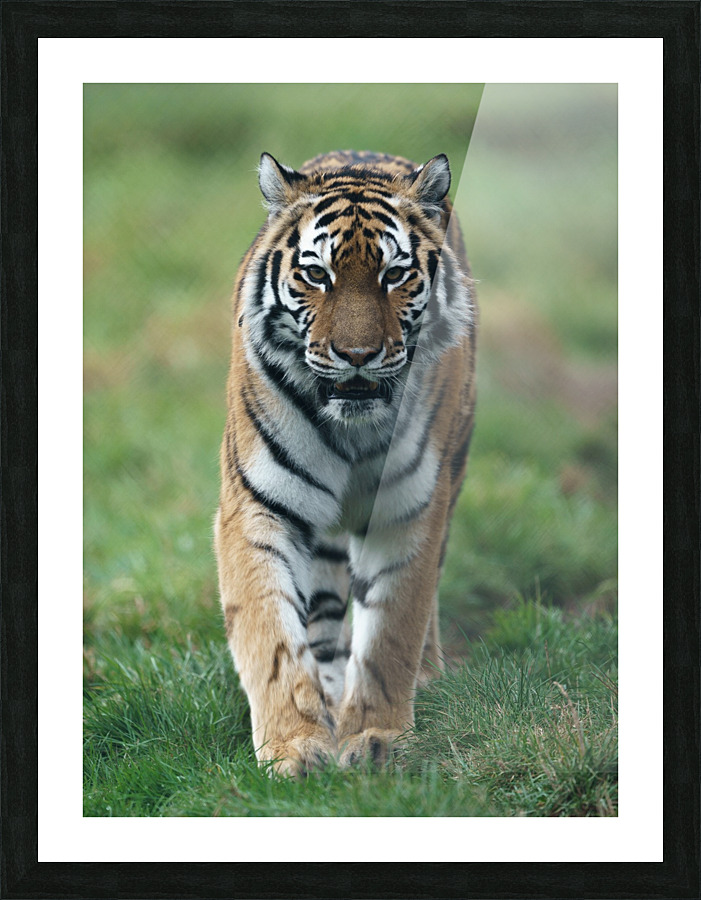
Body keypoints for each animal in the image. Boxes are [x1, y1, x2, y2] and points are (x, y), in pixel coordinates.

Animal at [215, 149, 477, 775]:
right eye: (317, 275)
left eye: (394, 275)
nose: (357, 356)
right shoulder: (256, 508)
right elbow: (271, 633)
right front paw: (294, 747)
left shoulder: (409, 510)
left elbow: (393, 629)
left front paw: (377, 738)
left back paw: (423, 677)